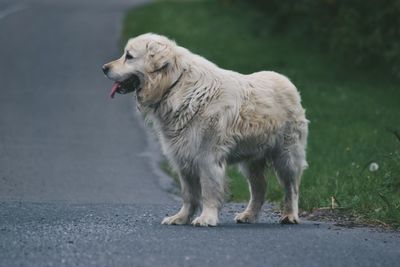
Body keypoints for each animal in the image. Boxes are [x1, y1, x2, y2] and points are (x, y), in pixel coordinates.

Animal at [101, 32, 308, 227]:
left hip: (286, 155)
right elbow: (188, 194)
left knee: (292, 187)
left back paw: (290, 216)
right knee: (260, 186)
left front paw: (206, 218)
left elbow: (208, 190)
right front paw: (181, 217)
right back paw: (249, 215)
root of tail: (287, 82)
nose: (104, 68)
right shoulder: (183, 156)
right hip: (252, 159)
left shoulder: (207, 156)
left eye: (129, 56)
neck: (174, 85)